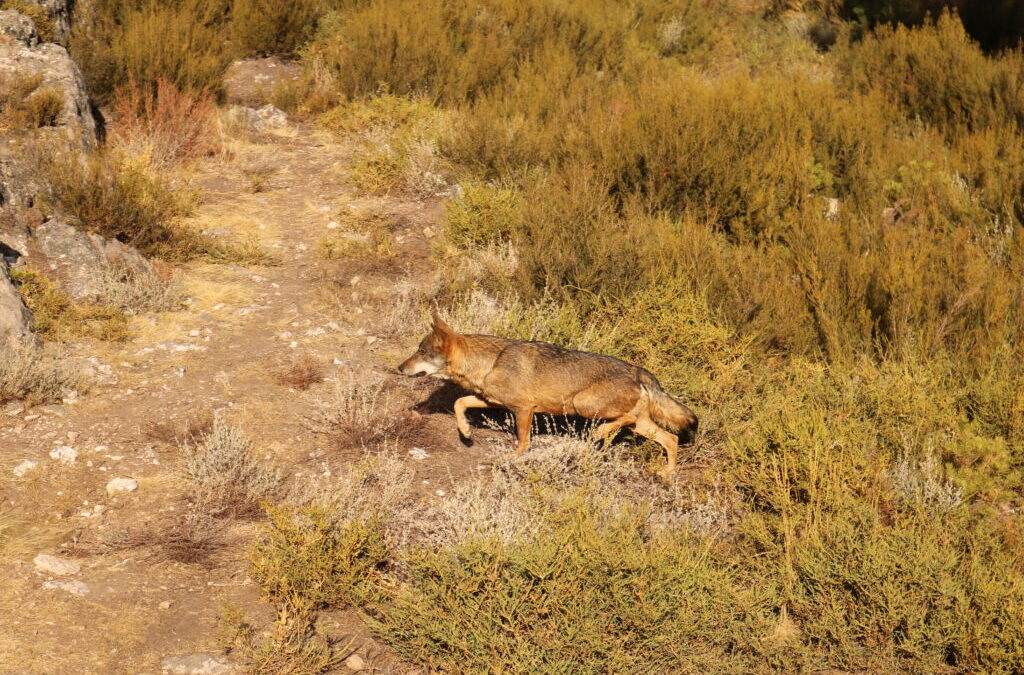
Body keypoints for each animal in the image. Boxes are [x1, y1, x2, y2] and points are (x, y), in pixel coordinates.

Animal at [397, 315, 696, 477]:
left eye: (421, 352)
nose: (399, 368)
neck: (491, 362)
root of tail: (640, 371)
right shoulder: (492, 400)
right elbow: (460, 403)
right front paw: (466, 432)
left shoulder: (524, 409)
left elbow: (522, 443)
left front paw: (507, 460)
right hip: (641, 424)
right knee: (670, 439)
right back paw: (667, 473)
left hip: (583, 404)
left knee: (623, 421)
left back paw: (601, 432)